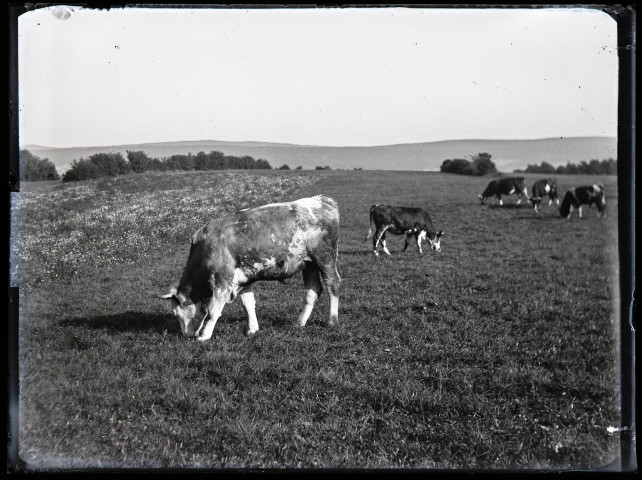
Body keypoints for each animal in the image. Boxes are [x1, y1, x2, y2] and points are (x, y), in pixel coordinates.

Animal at [159, 195, 340, 342]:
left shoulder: (223, 279)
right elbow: (248, 304)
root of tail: (322, 199)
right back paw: (300, 322)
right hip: (309, 264)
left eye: (176, 313)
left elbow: (213, 310)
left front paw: (204, 335)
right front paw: (252, 328)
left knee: (333, 284)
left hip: (325, 258)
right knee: (313, 290)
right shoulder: (244, 279)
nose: (186, 335)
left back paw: (332, 320)